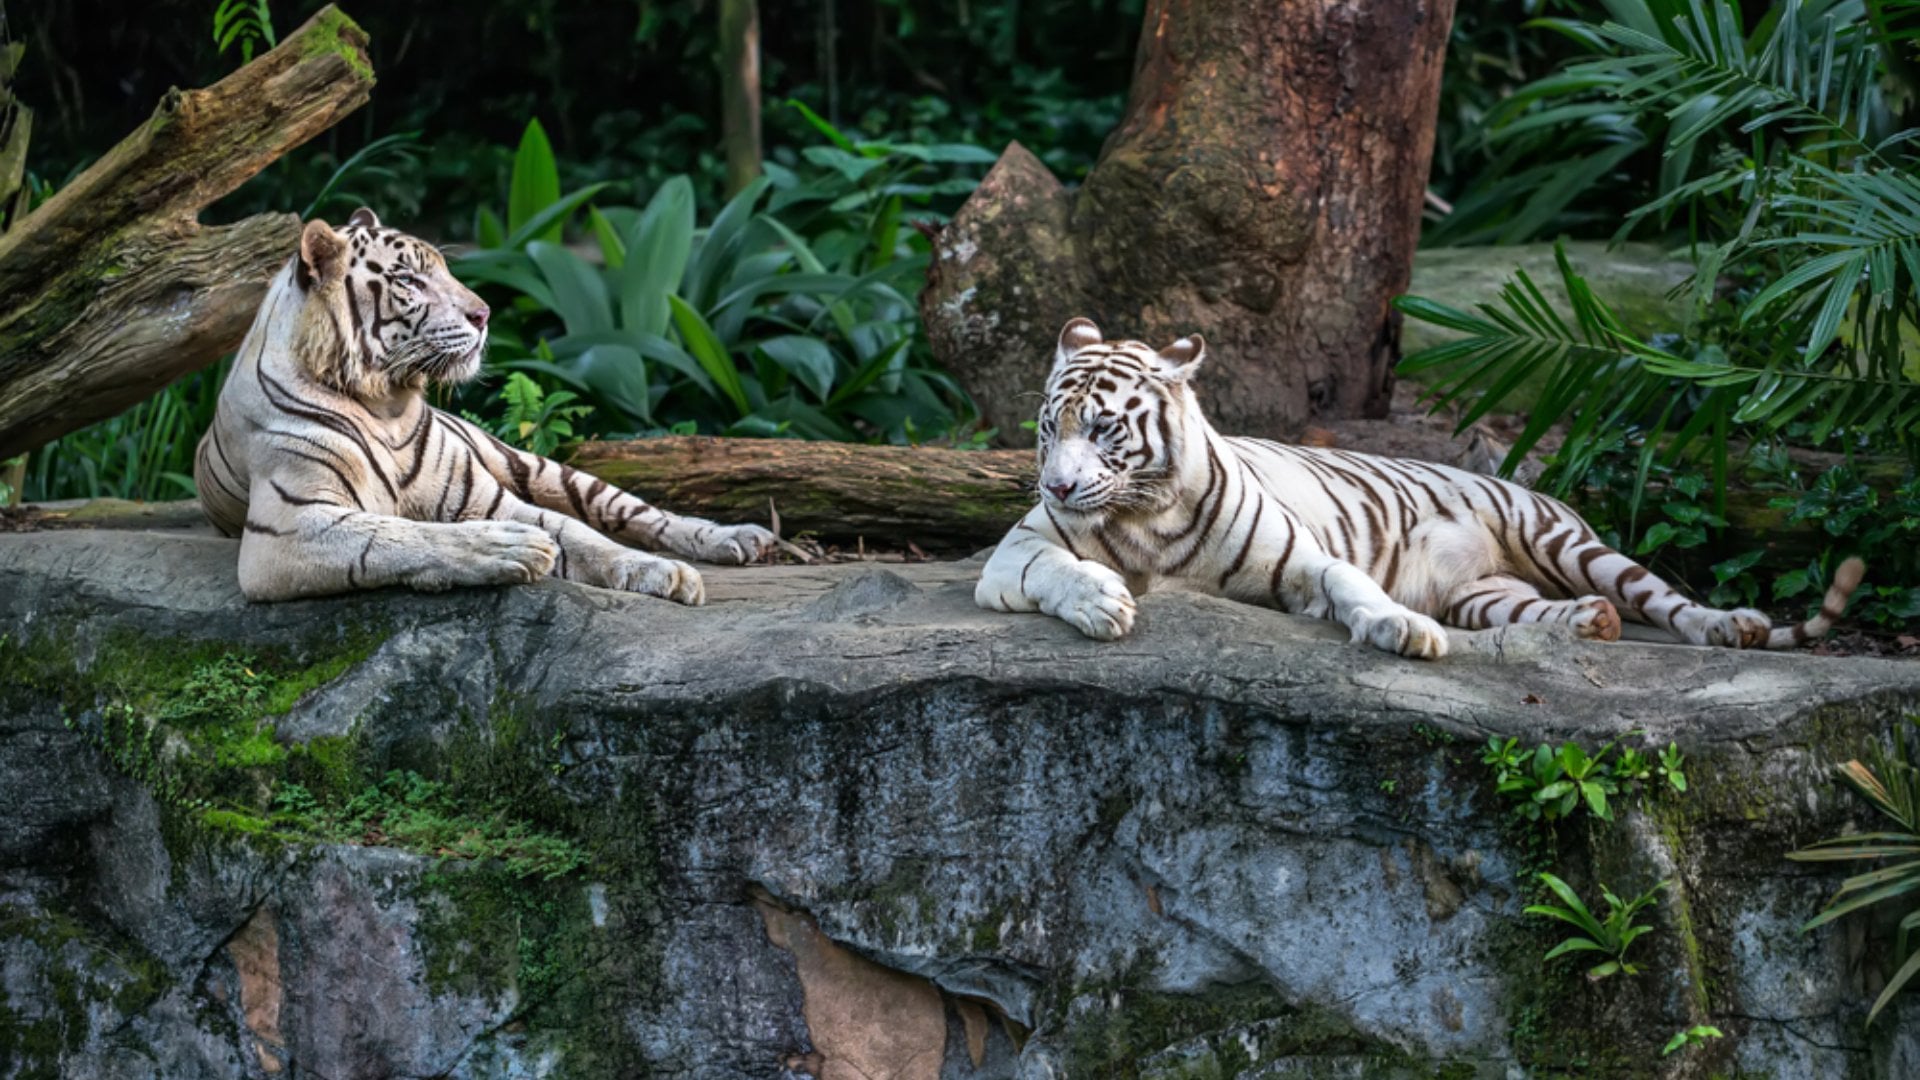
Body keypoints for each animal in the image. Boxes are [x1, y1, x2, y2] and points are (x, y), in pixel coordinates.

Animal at [194, 208, 775, 603]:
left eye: (445, 271)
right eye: (409, 279)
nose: (484, 314)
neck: (387, 406)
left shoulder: (488, 497)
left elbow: (581, 534)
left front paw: (663, 572)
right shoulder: (288, 528)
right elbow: (402, 534)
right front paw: (512, 549)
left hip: (536, 466)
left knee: (636, 512)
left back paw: (739, 538)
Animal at [975, 318, 1865, 660]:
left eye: (1104, 429)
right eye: (1049, 428)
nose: (1058, 486)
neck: (1145, 515)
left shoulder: (1301, 557)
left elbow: (1349, 582)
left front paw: (1402, 630)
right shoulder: (1013, 555)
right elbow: (1058, 569)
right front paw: (1101, 602)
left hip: (1566, 541)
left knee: (1667, 600)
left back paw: (1731, 626)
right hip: (1489, 598)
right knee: (1555, 612)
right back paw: (1592, 623)